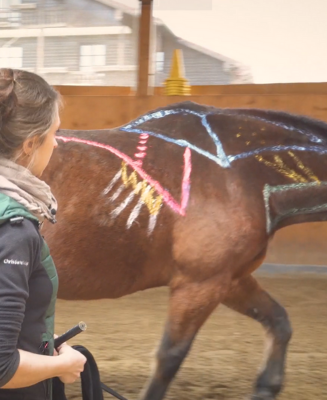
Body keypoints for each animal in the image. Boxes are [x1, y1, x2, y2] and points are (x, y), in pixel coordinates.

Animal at [41, 101, 327, 400]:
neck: (242, 175)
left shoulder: (229, 279)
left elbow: (279, 322)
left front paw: (265, 387)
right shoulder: (199, 284)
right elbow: (170, 357)